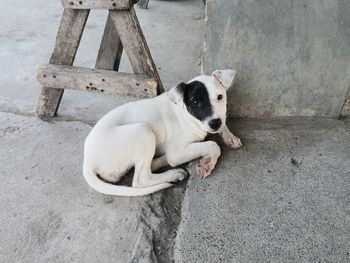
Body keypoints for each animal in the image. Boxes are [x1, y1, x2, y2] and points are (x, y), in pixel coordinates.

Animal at [83, 69, 242, 197]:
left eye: (220, 97)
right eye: (195, 102)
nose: (215, 123)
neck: (186, 115)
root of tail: (88, 162)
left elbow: (223, 126)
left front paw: (230, 137)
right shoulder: (177, 152)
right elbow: (213, 145)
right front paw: (208, 164)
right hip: (143, 130)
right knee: (141, 179)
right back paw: (173, 174)